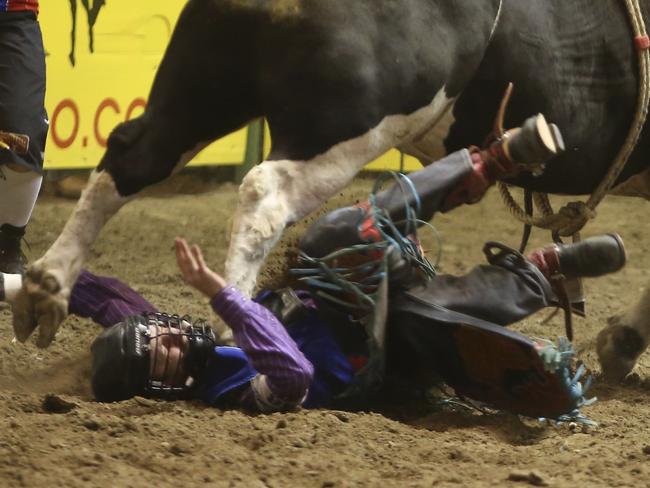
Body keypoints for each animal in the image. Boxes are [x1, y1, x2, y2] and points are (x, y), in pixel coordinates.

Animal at [12, 0, 648, 382]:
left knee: (130, 155)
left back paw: (48, 286)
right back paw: (238, 330)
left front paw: (621, 344)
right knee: (266, 193)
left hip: (205, 80)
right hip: (351, 120)